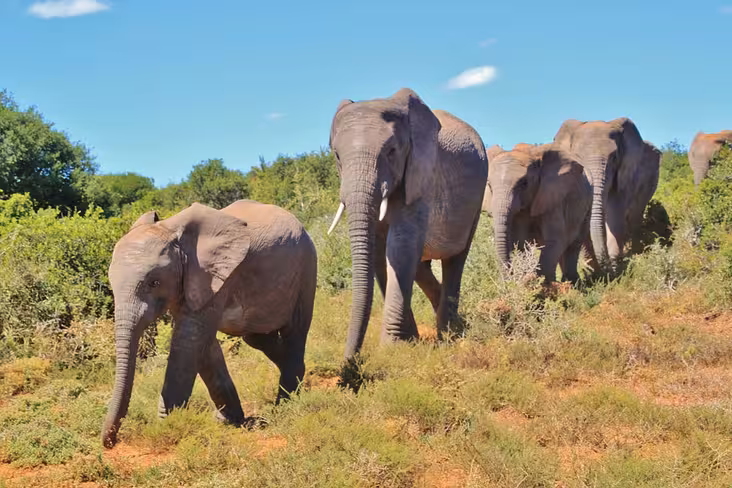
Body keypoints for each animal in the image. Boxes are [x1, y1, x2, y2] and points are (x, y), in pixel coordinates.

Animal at [101, 200, 316, 448]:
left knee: (295, 330)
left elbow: (189, 342)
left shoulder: (213, 275)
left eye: (154, 282)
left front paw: (168, 426)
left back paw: (285, 403)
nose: (110, 442)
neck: (172, 231)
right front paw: (228, 421)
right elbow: (203, 347)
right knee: (256, 337)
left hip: (306, 268)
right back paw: (299, 377)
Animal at [327, 88, 488, 360]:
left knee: (455, 258)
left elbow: (400, 246)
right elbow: (380, 251)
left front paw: (392, 348)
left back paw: (449, 333)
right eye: (337, 156)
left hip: (476, 196)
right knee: (421, 264)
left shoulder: (420, 174)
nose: (351, 361)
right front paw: (409, 341)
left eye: (392, 151)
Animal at [489, 143, 592, 283]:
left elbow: (556, 239)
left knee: (573, 244)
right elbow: (520, 242)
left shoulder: (552, 196)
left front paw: (542, 285)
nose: (507, 280)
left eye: (524, 183)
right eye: (489, 186)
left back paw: (571, 282)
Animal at [553, 118, 660, 271]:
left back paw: (635, 253)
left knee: (635, 216)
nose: (605, 265)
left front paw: (615, 266)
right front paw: (593, 269)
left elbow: (615, 214)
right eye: (578, 158)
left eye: (614, 158)